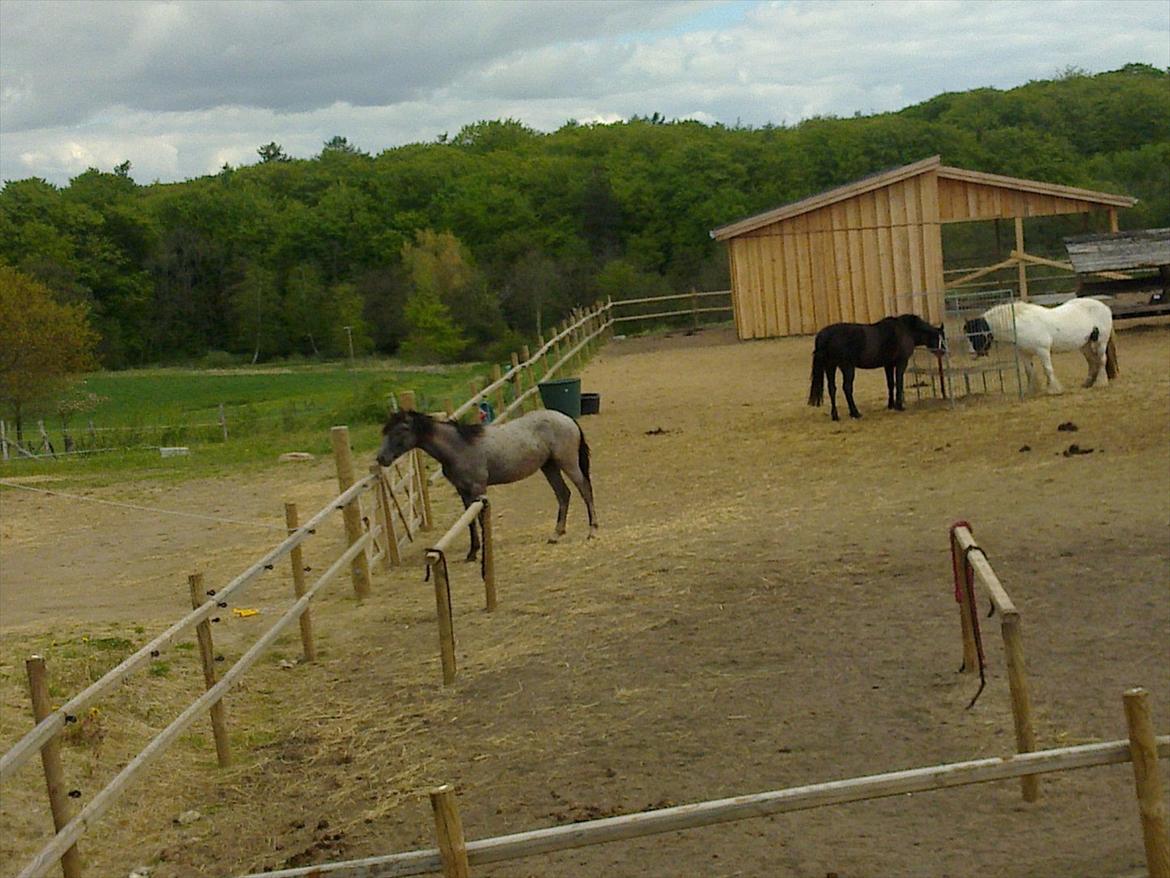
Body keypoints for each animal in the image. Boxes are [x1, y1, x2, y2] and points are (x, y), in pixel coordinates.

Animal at [376, 409, 599, 559]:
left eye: (401, 430)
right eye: (385, 431)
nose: (381, 458)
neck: (459, 446)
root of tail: (567, 419)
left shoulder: (478, 489)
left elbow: (482, 521)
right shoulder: (464, 492)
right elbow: (470, 523)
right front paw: (472, 552)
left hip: (568, 464)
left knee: (585, 490)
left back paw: (592, 531)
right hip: (549, 467)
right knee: (563, 494)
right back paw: (555, 534)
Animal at [809, 316, 945, 423]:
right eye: (941, 338)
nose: (943, 351)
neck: (906, 330)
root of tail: (825, 335)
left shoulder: (888, 365)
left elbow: (891, 384)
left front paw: (891, 405)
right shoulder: (901, 363)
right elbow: (899, 382)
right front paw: (899, 406)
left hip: (830, 367)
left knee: (832, 389)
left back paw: (835, 416)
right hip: (847, 367)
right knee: (847, 388)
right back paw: (855, 413)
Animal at [964, 299, 1118, 395]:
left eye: (975, 335)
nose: (971, 354)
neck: (1021, 324)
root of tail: (1105, 307)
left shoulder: (1042, 350)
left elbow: (1048, 369)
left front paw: (1054, 389)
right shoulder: (1024, 353)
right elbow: (1029, 371)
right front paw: (1032, 390)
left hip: (1100, 342)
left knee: (1102, 360)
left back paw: (1101, 382)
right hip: (1084, 345)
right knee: (1092, 361)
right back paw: (1087, 383)